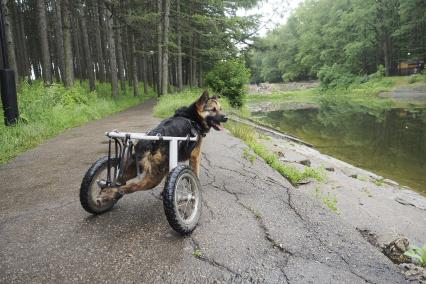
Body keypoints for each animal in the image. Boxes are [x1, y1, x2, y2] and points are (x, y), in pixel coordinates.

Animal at [98, 91, 228, 204]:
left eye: (220, 109)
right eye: (213, 110)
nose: (226, 117)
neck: (193, 118)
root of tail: (149, 141)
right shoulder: (195, 156)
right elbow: (195, 175)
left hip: (134, 167)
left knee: (117, 182)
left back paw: (106, 193)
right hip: (154, 177)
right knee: (131, 186)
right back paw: (109, 194)